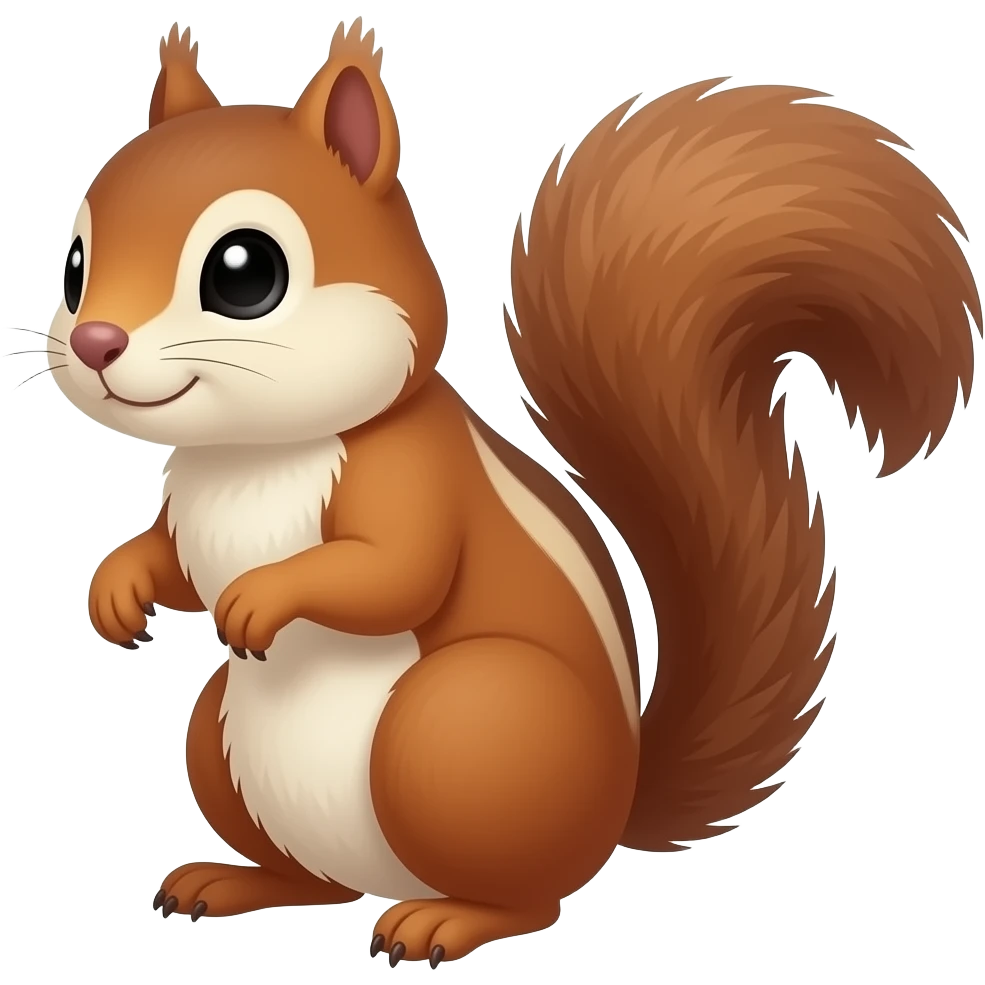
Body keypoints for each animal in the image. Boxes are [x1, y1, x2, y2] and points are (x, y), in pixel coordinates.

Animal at [48, 19, 980, 967]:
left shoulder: (411, 478)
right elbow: (169, 558)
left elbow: (394, 573)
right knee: (319, 881)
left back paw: (445, 921)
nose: (93, 342)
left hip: (462, 724)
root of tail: (616, 806)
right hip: (220, 735)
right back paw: (235, 881)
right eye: (76, 263)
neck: (251, 454)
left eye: (244, 272)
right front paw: (116, 589)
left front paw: (259, 597)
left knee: (531, 897)